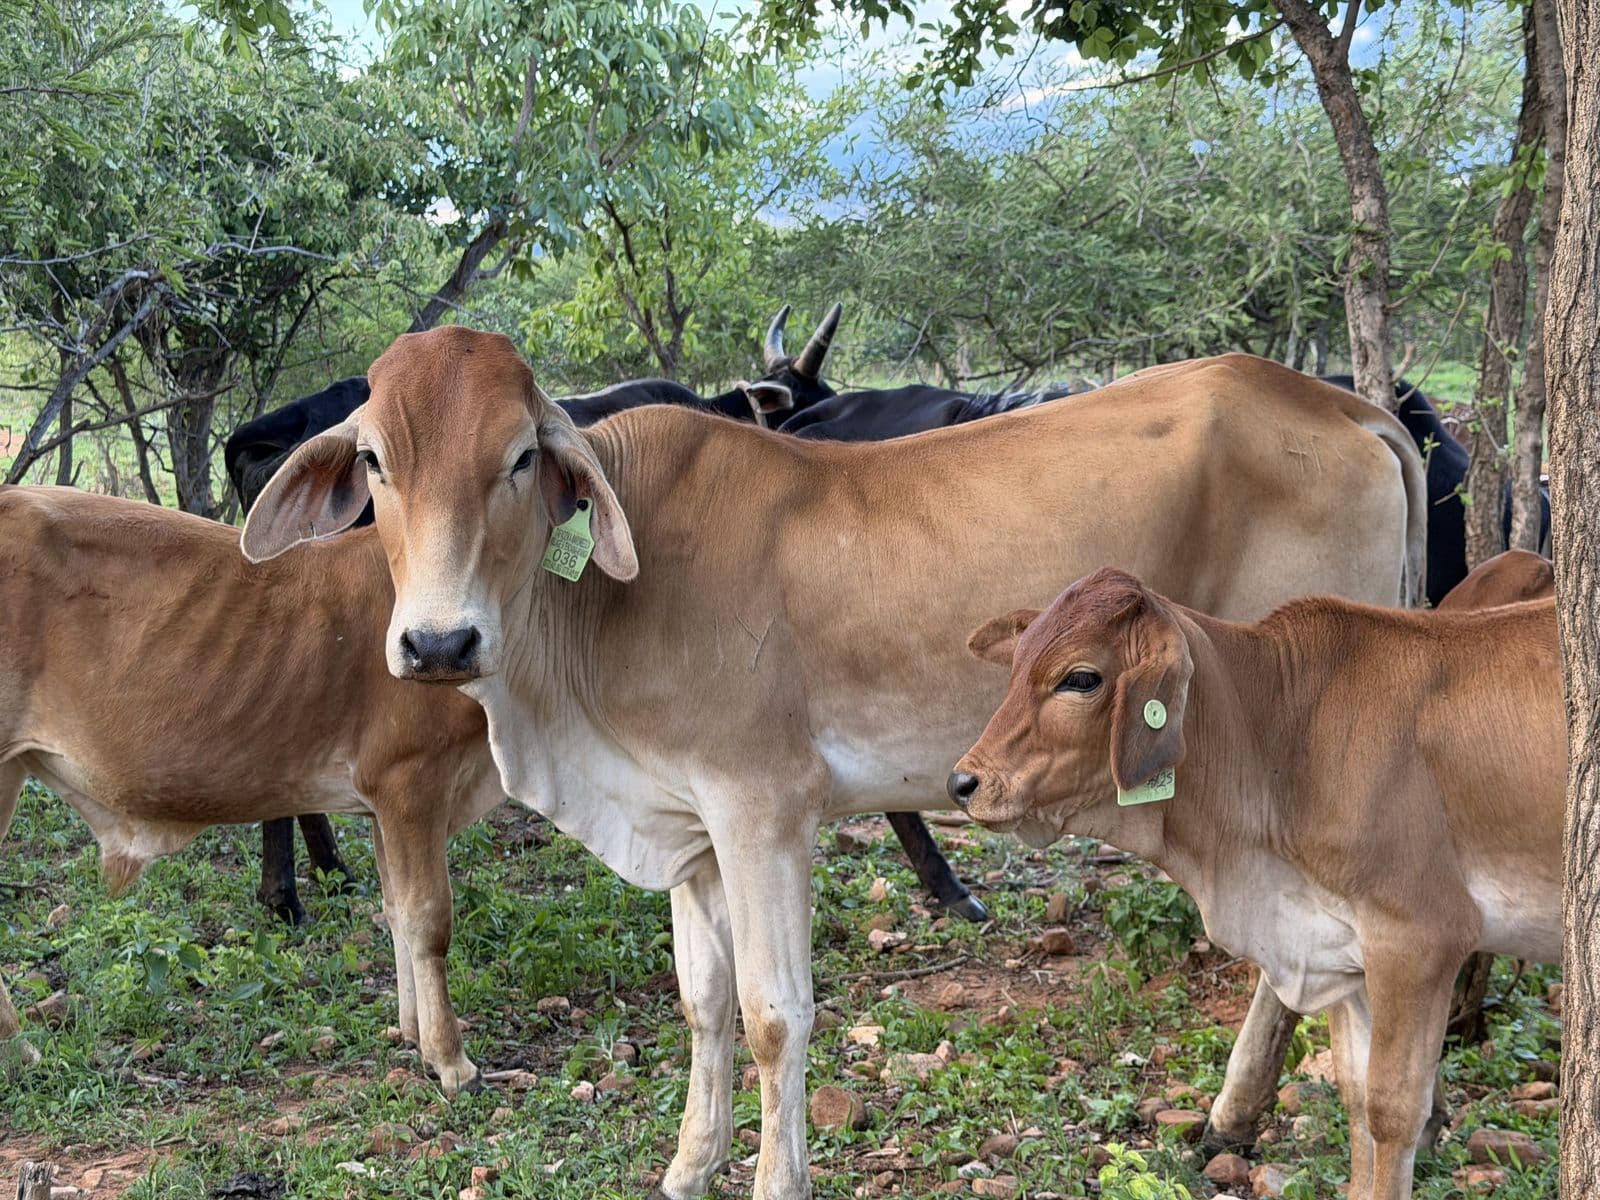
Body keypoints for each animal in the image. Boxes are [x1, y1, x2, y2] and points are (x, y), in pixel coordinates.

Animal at [0, 487, 500, 1094]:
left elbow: (397, 910)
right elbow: (428, 919)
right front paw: (452, 1061)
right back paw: (18, 1048)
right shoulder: (412, 781)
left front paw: (411, 1034)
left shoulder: (383, 801)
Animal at [949, 566, 1561, 1200]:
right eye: (1016, 666)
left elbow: (1392, 1112)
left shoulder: (1420, 936)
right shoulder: (1342, 950)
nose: (964, 783)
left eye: (1080, 678)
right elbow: (1357, 1098)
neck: (1281, 738)